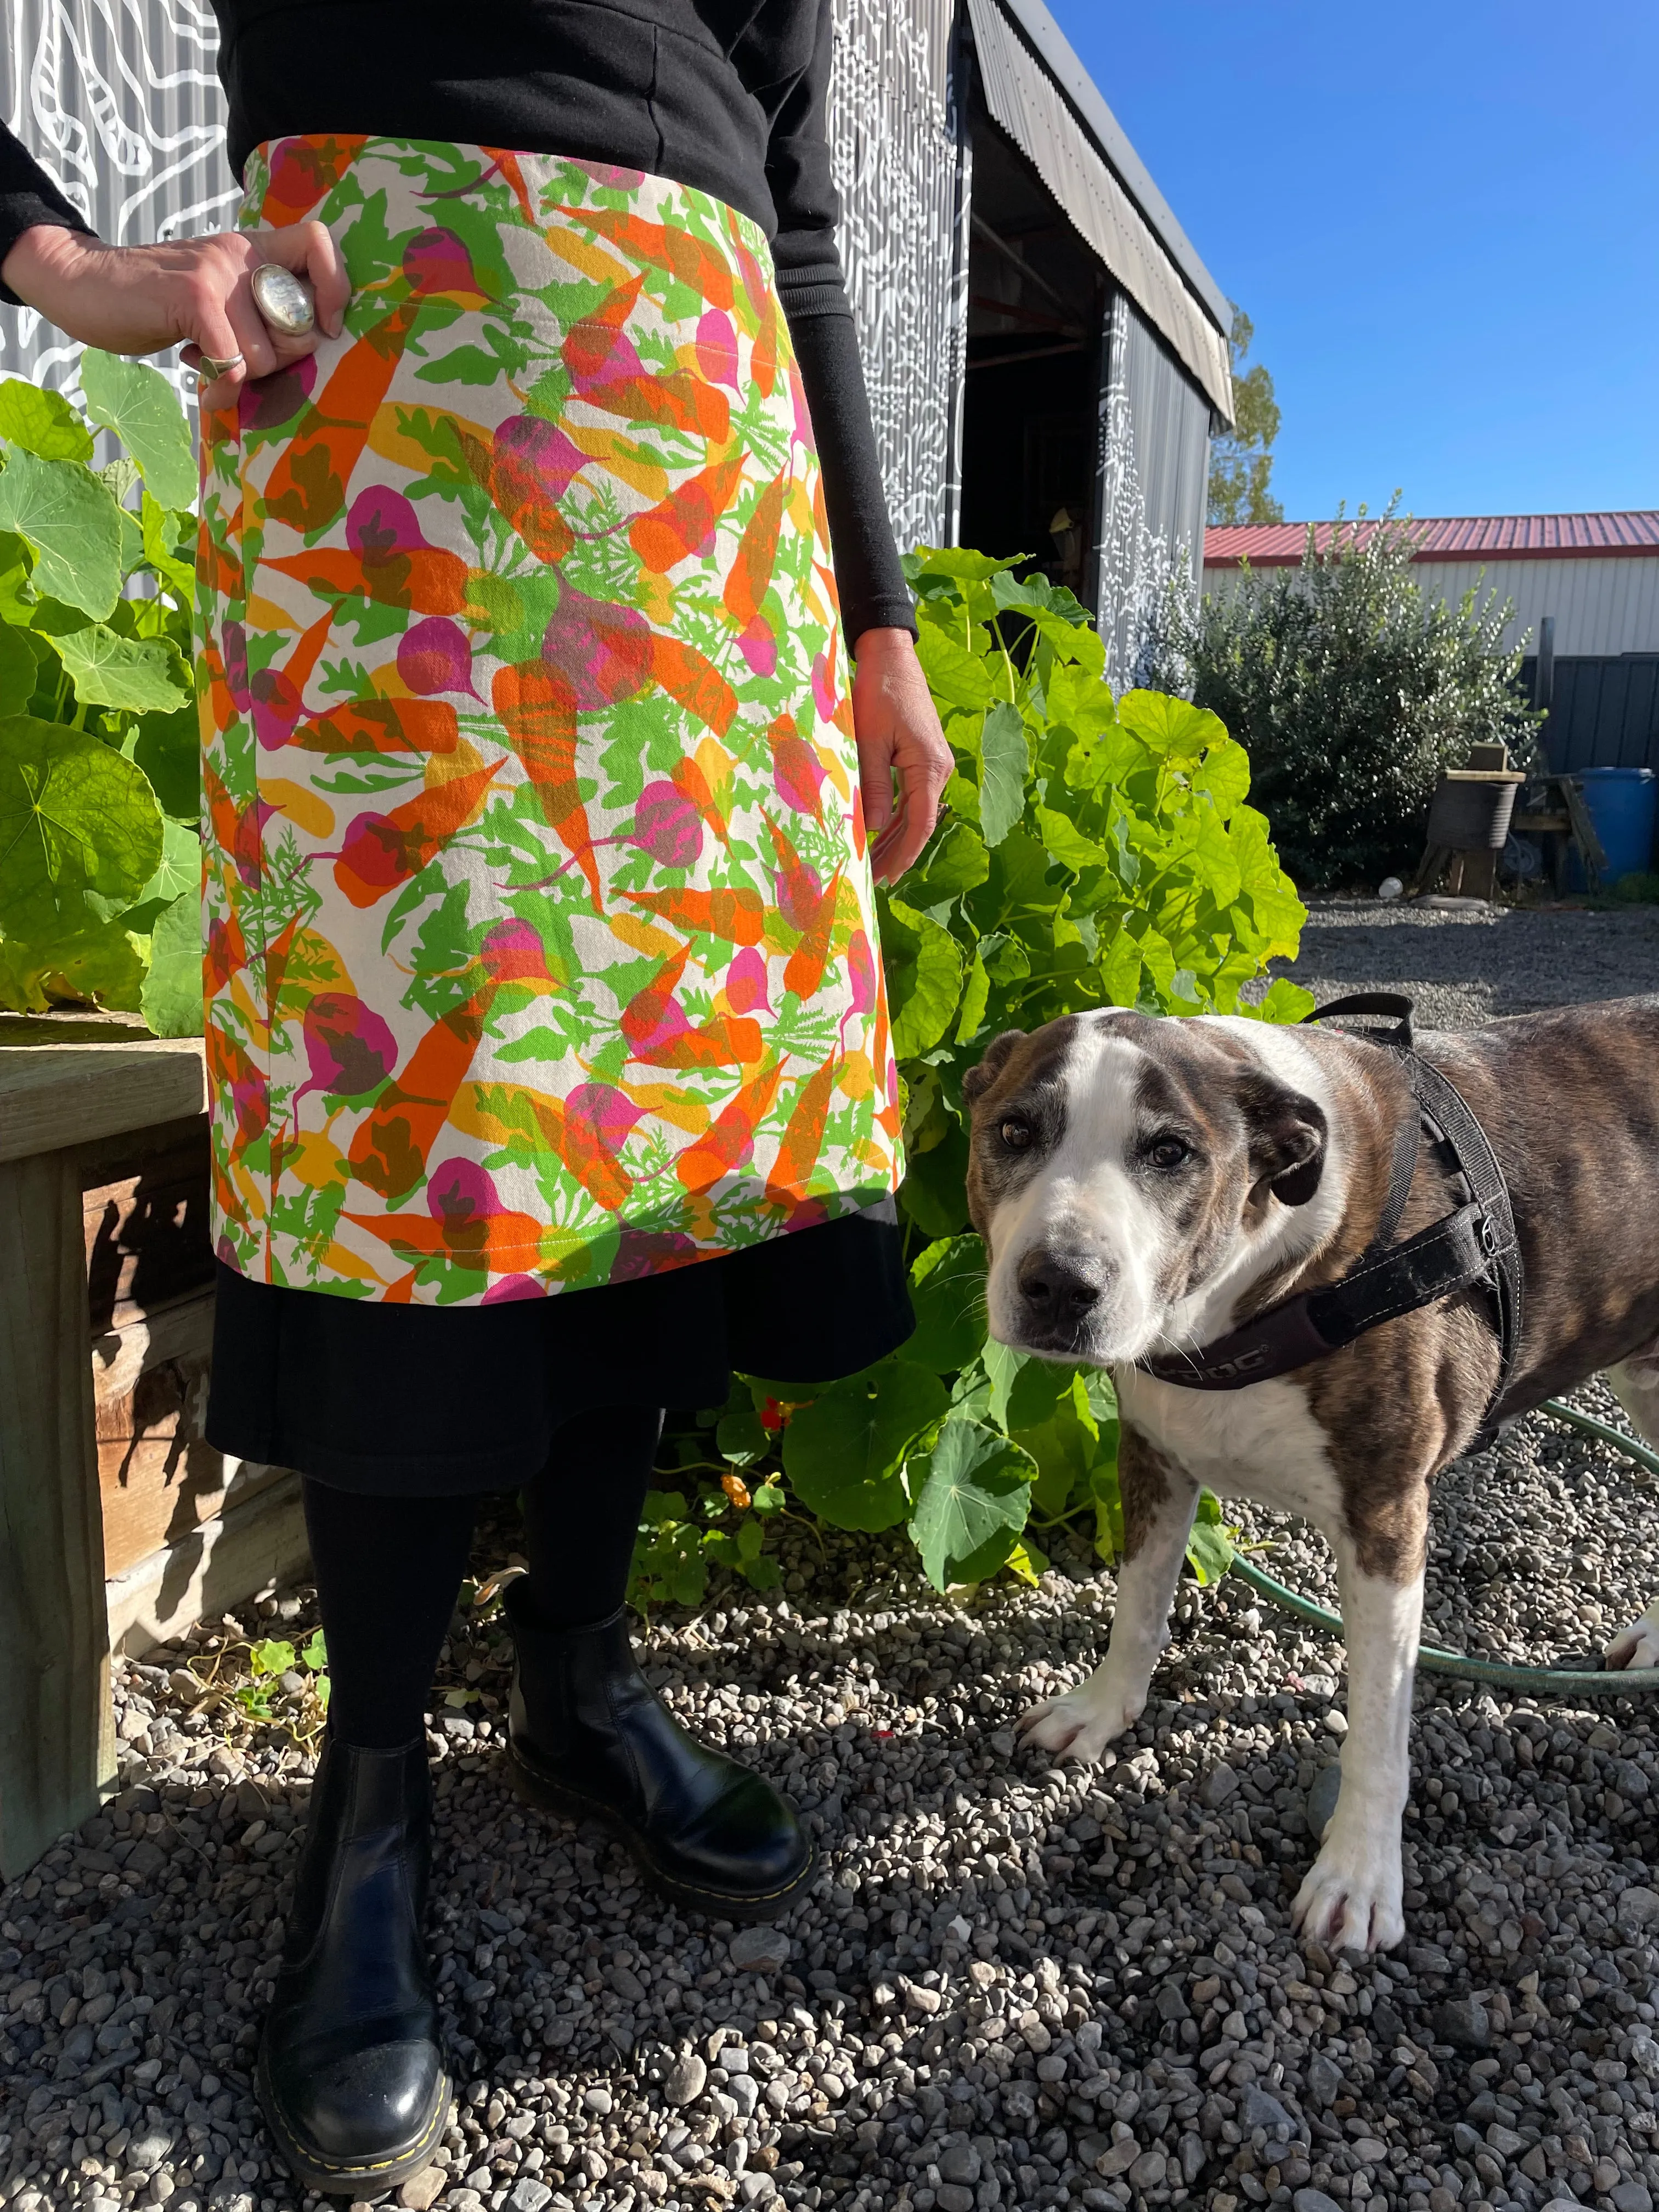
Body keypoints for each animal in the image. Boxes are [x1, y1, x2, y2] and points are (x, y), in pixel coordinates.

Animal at [960, 1004, 1659, 1955]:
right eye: (1014, 1132)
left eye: (1170, 1151)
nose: (1061, 1284)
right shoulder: (1152, 1453)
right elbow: (1137, 1608)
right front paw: (1102, 1710)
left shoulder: (1385, 1521)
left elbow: (1378, 1729)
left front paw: (1359, 1875)